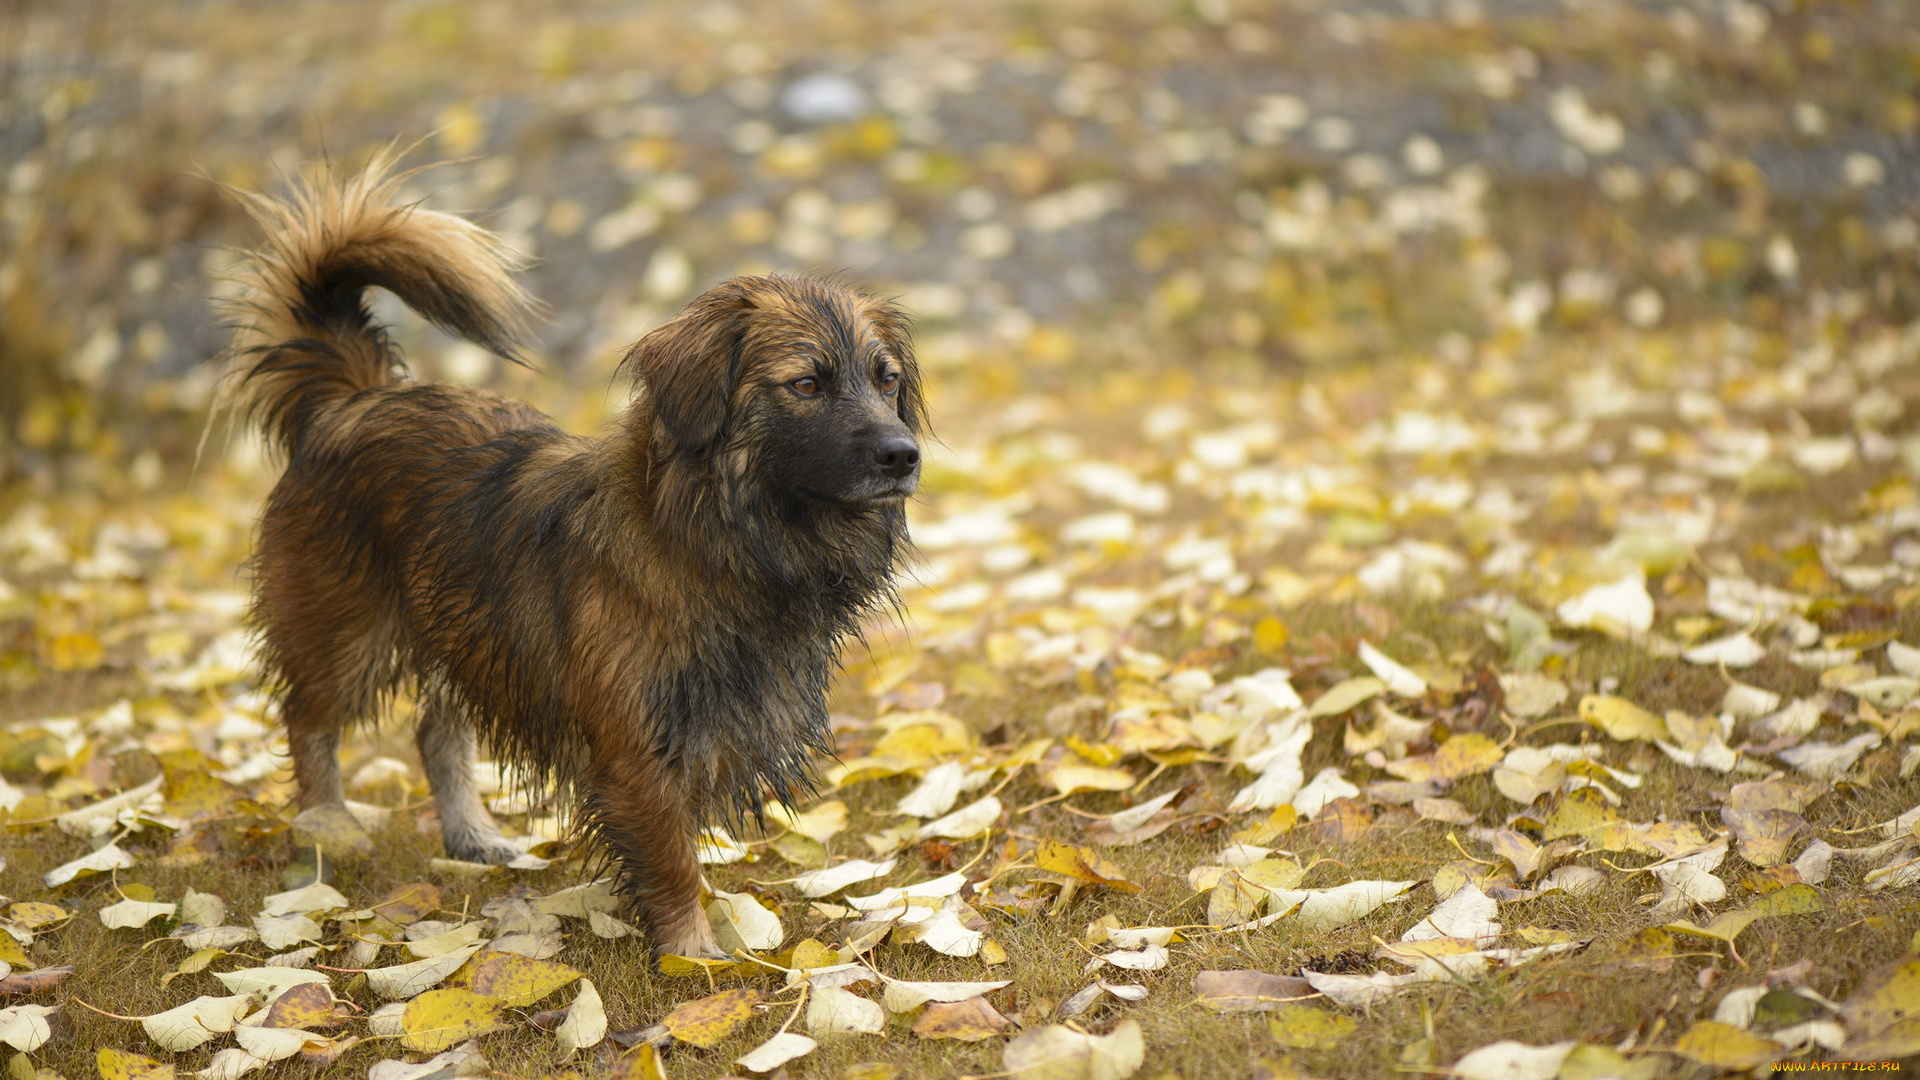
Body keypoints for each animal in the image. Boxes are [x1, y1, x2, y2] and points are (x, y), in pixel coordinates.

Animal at [220, 157, 925, 949]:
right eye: (806, 383)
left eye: (887, 379)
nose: (905, 456)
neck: (719, 541)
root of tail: (353, 399)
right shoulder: (635, 750)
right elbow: (672, 862)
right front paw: (695, 956)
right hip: (347, 631)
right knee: (310, 722)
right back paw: (325, 835)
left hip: (465, 625)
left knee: (436, 731)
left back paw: (470, 835)